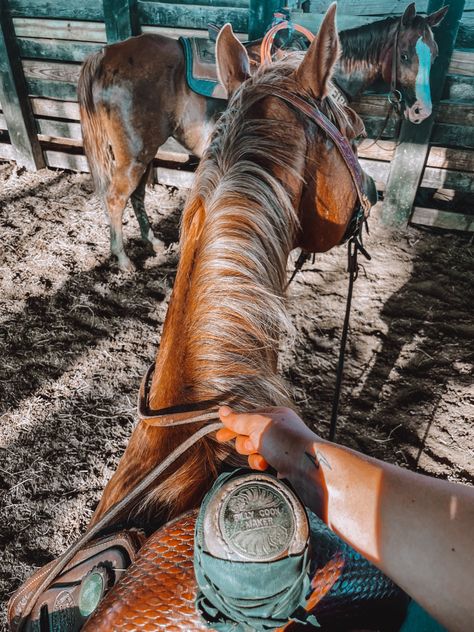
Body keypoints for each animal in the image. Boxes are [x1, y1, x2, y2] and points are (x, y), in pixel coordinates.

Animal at [78, 3, 448, 270]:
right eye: (405, 55)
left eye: (435, 53)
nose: (422, 111)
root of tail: (105, 55)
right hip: (134, 153)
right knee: (117, 197)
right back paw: (123, 259)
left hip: (145, 150)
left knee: (138, 194)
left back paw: (151, 242)